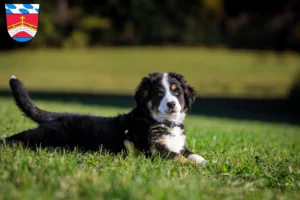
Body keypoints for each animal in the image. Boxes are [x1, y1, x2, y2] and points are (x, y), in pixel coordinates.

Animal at [1, 72, 206, 164]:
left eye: (177, 92)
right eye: (159, 93)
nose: (171, 104)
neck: (163, 122)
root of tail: (61, 115)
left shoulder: (178, 144)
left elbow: (191, 154)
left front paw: (206, 162)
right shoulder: (153, 150)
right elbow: (178, 157)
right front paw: (196, 168)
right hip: (46, 136)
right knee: (20, 138)